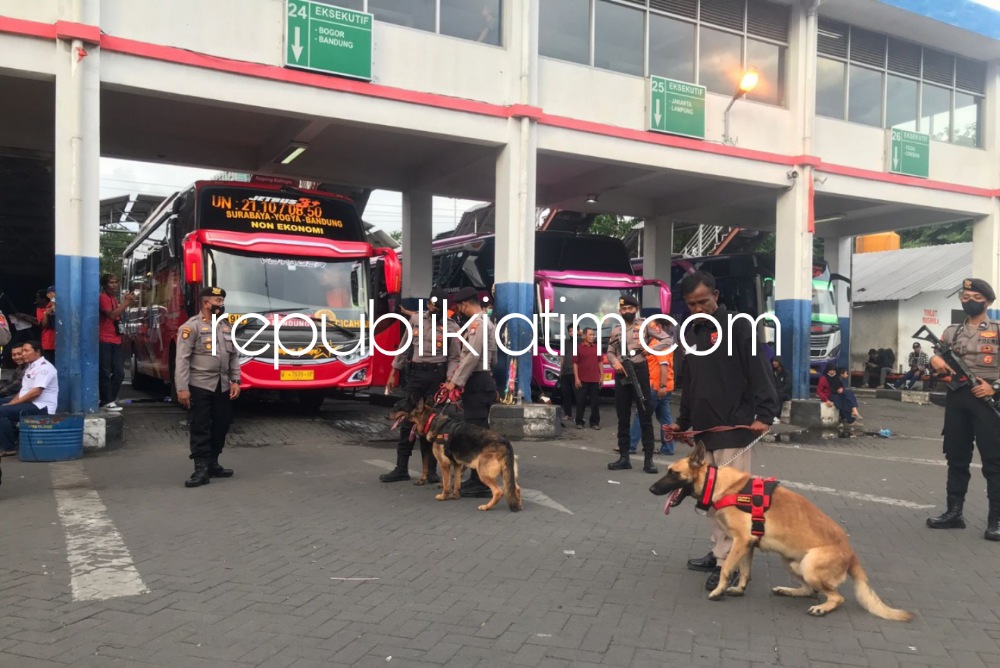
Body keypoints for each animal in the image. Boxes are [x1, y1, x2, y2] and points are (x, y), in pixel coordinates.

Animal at [388, 396, 524, 512]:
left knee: (498, 492)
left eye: (399, 407)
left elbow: (446, 483)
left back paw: (486, 507)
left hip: (483, 473)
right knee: (516, 488)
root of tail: (505, 443)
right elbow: (457, 482)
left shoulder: (444, 464)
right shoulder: (457, 465)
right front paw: (455, 495)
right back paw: (518, 505)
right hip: (506, 474)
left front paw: (443, 496)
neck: (432, 421)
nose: (386, 416)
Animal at [648, 444, 916, 620]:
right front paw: (739, 589)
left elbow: (725, 569)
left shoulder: (740, 541)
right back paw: (788, 591)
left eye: (673, 473)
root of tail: (851, 554)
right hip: (791, 562)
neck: (720, 485)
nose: (651, 488)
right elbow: (744, 571)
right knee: (810, 590)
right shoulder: (747, 545)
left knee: (836, 597)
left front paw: (718, 591)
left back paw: (822, 608)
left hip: (809, 565)